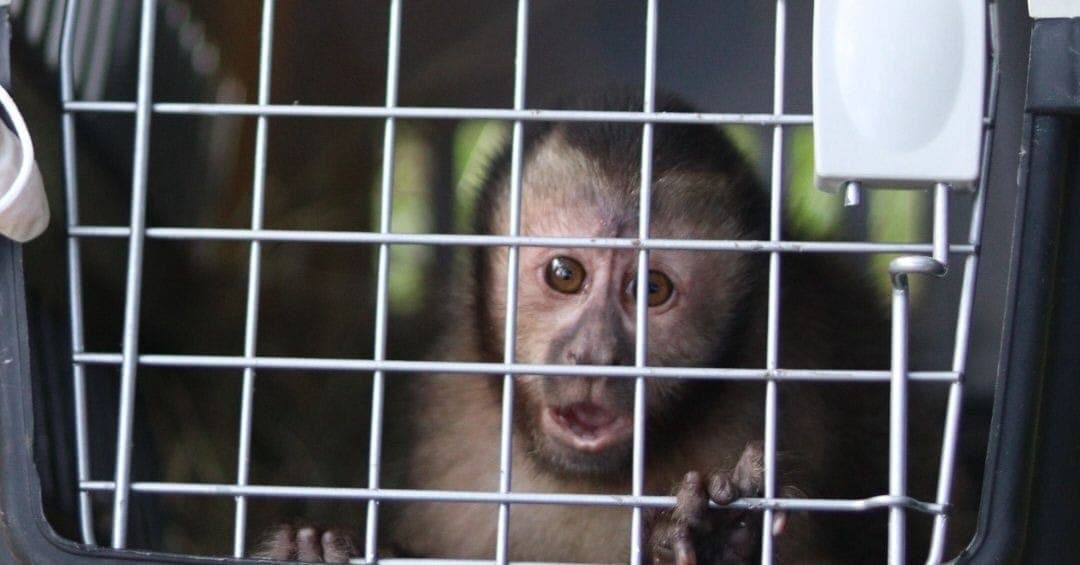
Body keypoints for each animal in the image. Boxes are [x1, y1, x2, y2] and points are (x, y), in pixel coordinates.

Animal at [256, 91, 972, 563]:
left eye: (650, 290)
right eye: (565, 274)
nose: (595, 351)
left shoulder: (810, 383)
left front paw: (721, 542)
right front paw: (318, 552)